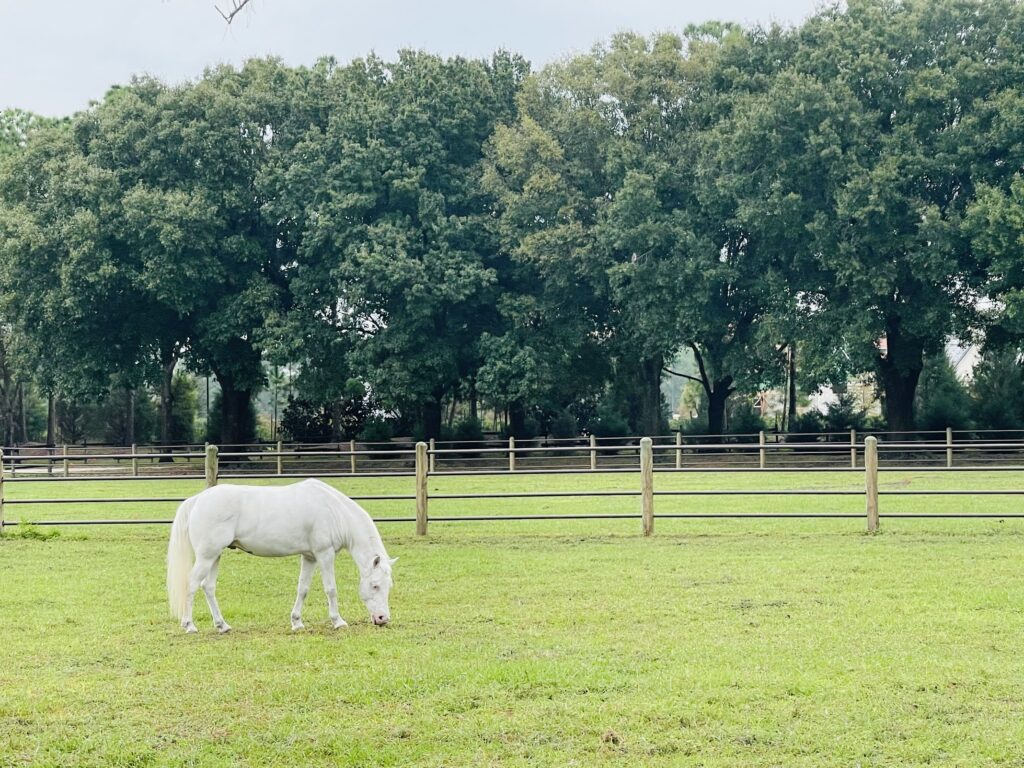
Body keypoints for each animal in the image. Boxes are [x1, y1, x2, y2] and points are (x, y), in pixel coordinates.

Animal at [165, 479, 393, 634]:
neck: (333, 510)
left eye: (388, 586)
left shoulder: (309, 557)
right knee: (192, 585)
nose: (383, 618)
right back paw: (189, 625)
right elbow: (331, 589)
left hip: (215, 556)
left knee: (208, 587)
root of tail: (198, 500)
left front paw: (297, 622)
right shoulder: (324, 554)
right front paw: (338, 621)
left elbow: (303, 589)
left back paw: (222, 625)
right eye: (375, 586)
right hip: (207, 556)